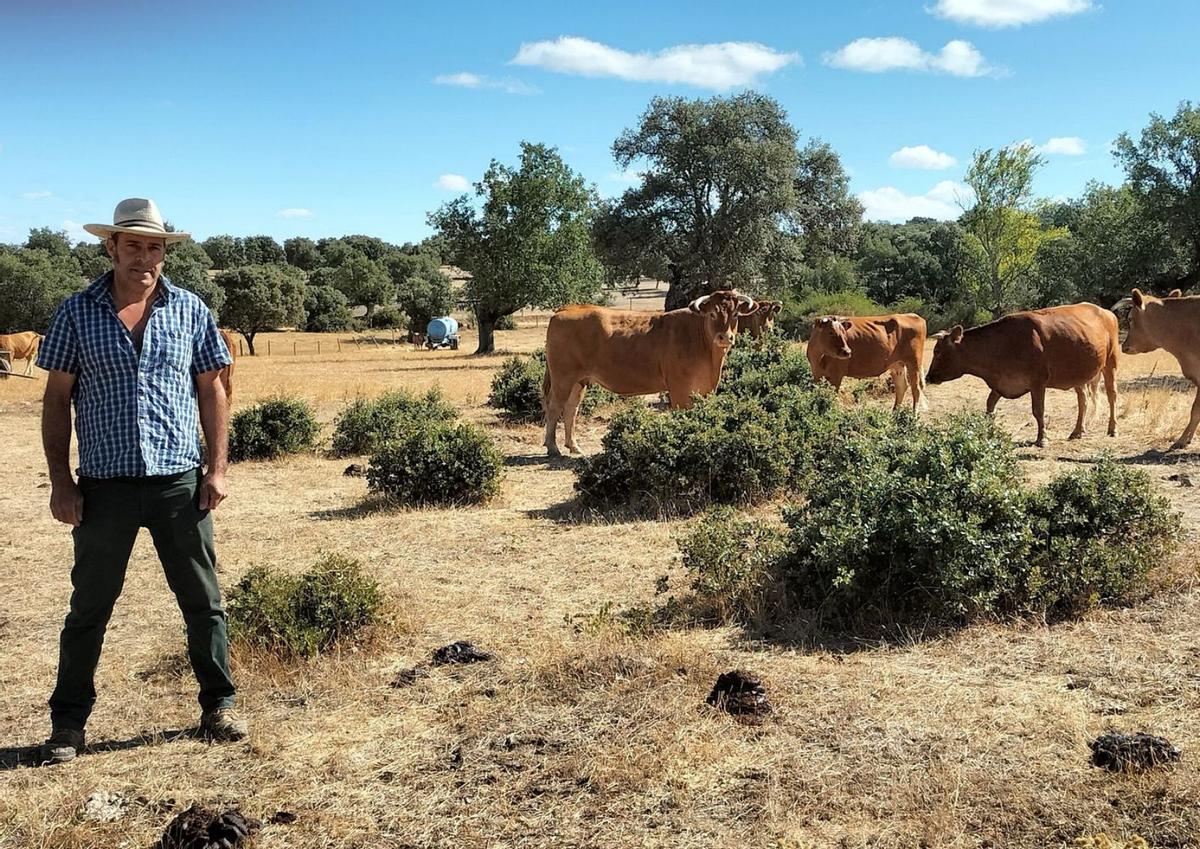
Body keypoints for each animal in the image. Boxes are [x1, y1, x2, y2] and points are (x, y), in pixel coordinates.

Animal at [926, 302, 1113, 448]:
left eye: (938, 351)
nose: (928, 377)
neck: (1003, 345)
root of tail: (1105, 311)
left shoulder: (1038, 383)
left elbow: (1038, 411)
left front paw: (1042, 439)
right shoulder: (1001, 383)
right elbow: (989, 406)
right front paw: (988, 432)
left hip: (1111, 362)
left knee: (1112, 396)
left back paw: (1112, 429)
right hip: (1079, 376)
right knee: (1083, 399)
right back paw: (1077, 431)